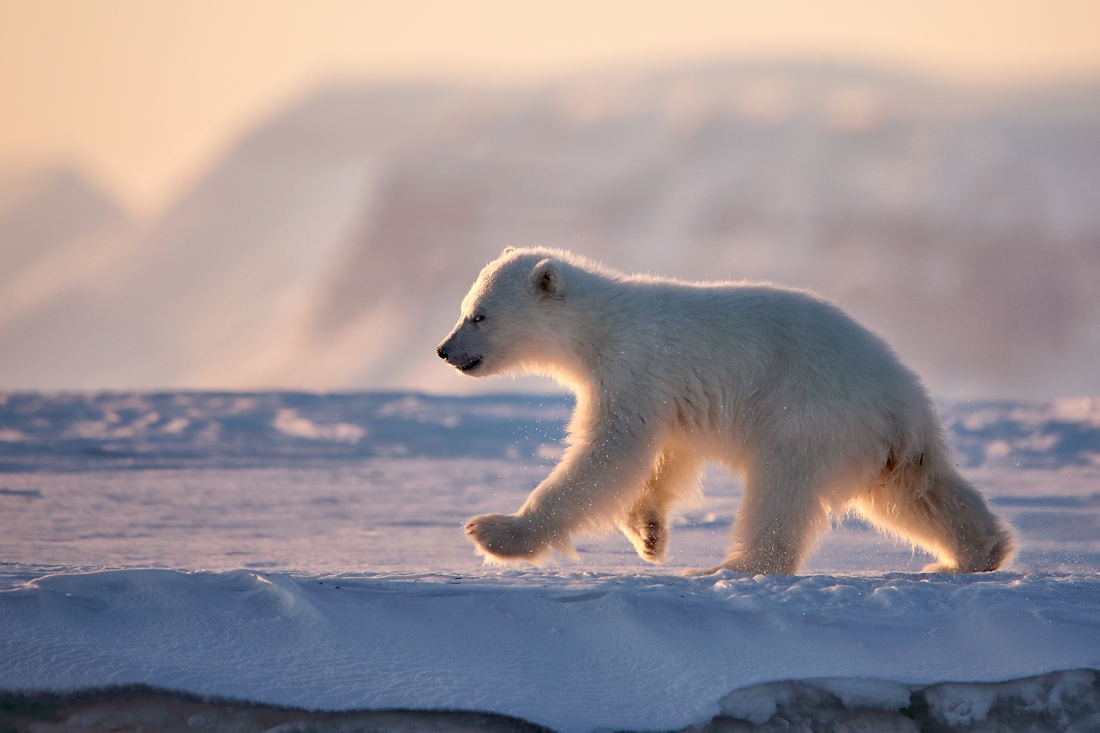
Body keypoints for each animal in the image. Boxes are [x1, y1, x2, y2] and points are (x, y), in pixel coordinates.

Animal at [436, 247, 1014, 575]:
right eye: (464, 309)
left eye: (478, 315)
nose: (444, 350)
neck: (601, 325)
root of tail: (906, 403)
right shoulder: (668, 394)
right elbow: (667, 453)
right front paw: (649, 534)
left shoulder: (634, 366)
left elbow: (609, 452)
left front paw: (494, 531)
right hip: (880, 443)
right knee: (916, 493)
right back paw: (974, 554)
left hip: (812, 413)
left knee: (780, 490)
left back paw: (731, 567)